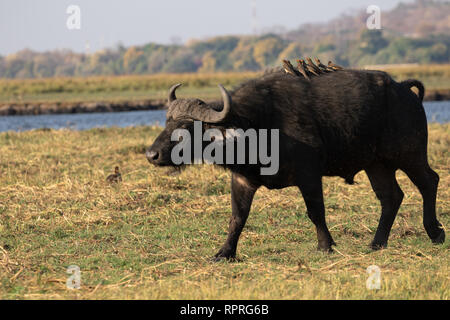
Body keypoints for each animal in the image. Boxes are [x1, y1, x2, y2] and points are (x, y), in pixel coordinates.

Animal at [146, 67, 444, 260]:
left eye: (187, 127)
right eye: (167, 122)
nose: (152, 155)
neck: (257, 125)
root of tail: (404, 90)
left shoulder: (309, 174)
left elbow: (316, 212)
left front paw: (325, 245)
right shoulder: (242, 180)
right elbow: (237, 218)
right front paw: (224, 252)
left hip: (410, 155)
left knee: (429, 182)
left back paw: (435, 232)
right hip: (377, 165)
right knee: (391, 197)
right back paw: (377, 243)